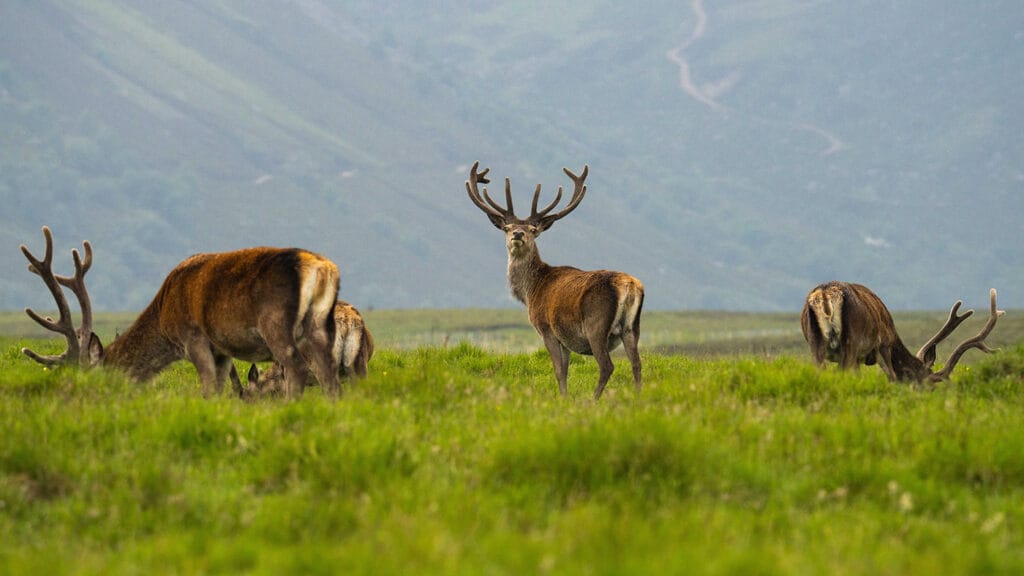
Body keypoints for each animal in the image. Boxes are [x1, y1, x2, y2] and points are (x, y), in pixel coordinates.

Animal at [20, 226, 341, 399]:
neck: (164, 323)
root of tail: (322, 268)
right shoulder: (221, 350)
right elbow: (221, 386)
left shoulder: (193, 337)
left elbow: (208, 388)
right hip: (320, 326)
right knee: (329, 374)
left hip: (275, 323)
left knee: (298, 368)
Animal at [465, 161, 644, 399]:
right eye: (507, 228)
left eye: (533, 229)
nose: (518, 234)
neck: (530, 291)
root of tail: (629, 285)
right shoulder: (564, 338)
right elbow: (565, 370)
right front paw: (565, 397)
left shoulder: (546, 328)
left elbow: (559, 370)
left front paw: (563, 399)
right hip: (632, 328)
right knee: (637, 364)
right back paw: (638, 398)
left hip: (596, 324)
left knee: (607, 366)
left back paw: (592, 400)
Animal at [800, 281, 1004, 383]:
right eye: (930, 383)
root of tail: (825, 295)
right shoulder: (883, 344)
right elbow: (892, 376)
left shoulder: (860, 357)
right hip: (851, 340)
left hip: (815, 342)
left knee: (820, 369)